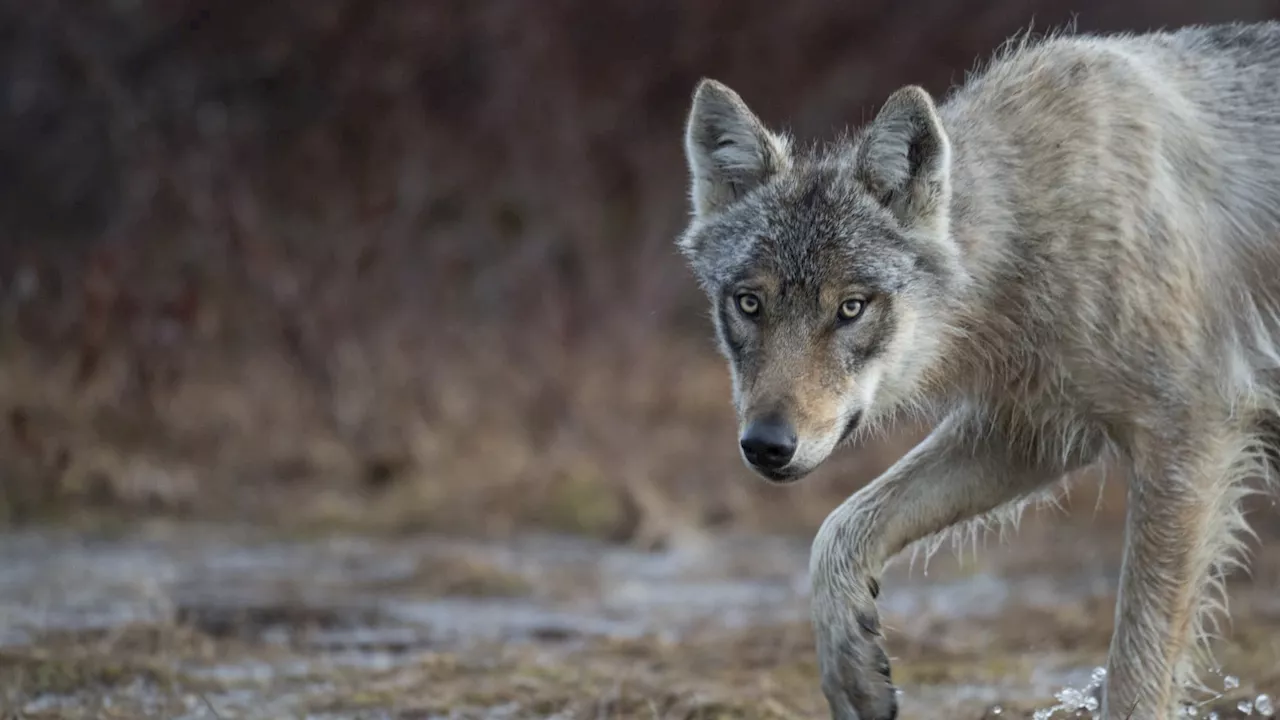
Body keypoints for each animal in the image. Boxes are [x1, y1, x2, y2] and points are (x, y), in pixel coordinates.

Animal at [675, 19, 1280, 712]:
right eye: (749, 303)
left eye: (851, 308)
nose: (766, 445)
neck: (1037, 226)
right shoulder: (1031, 431)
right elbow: (836, 531)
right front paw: (853, 675)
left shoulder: (1189, 439)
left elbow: (1136, 670)